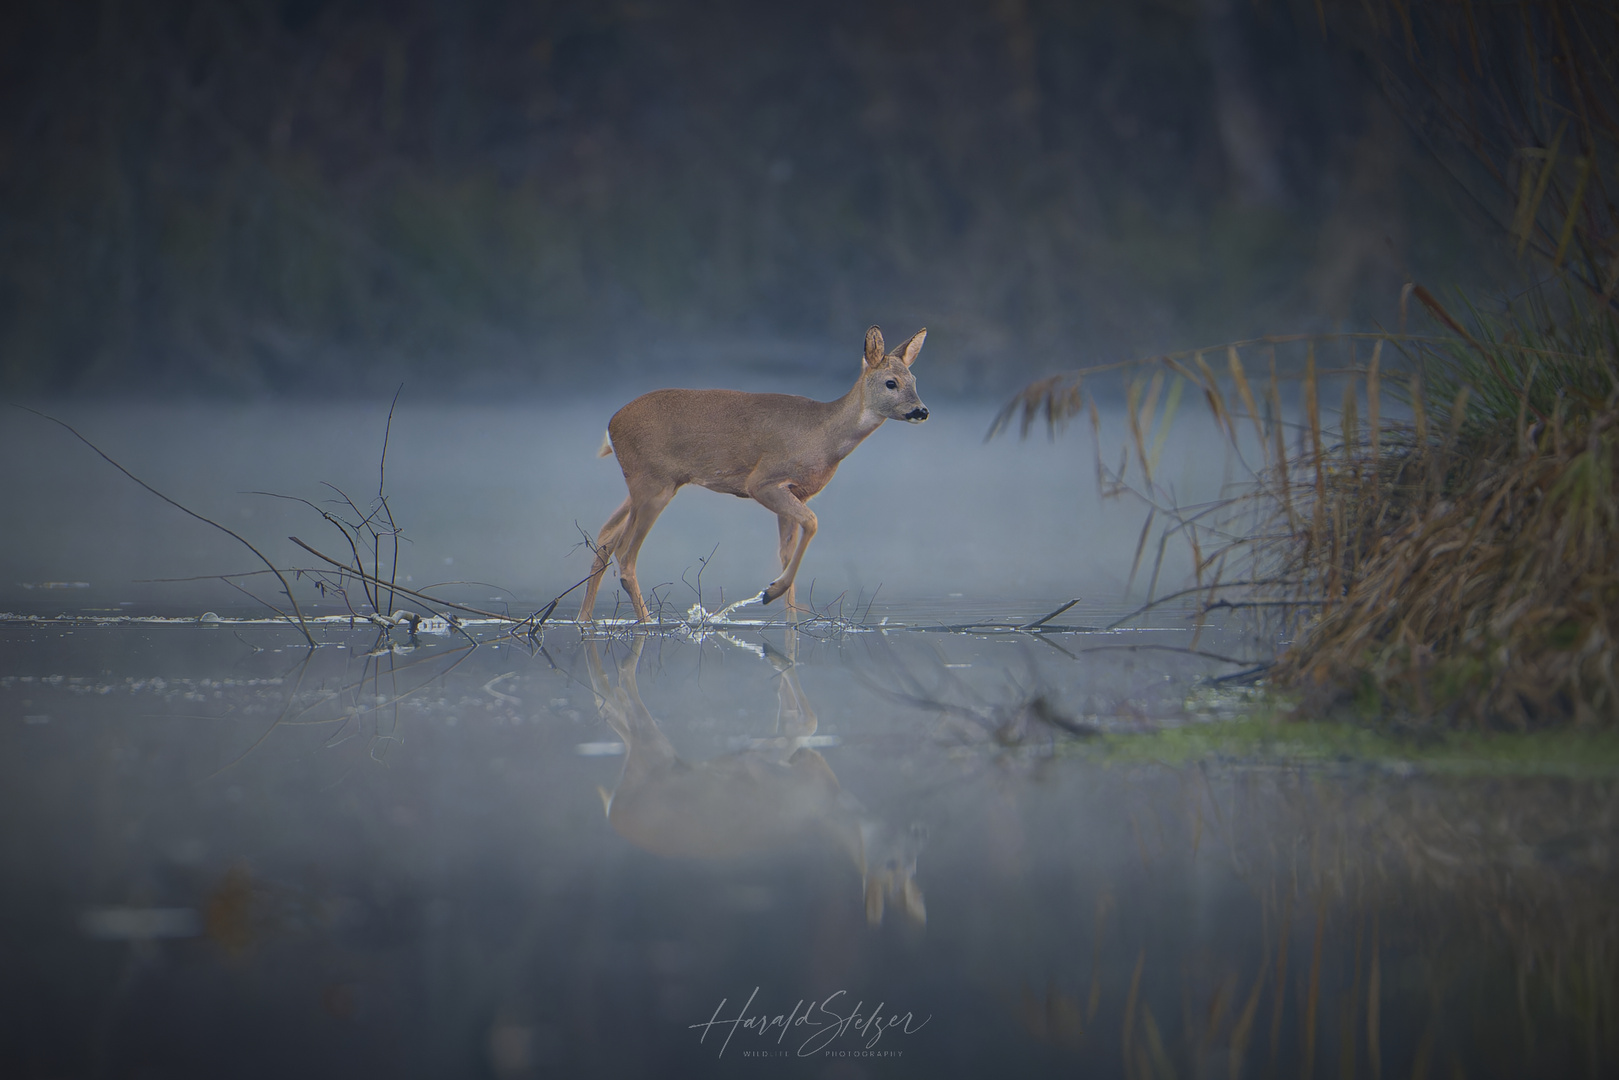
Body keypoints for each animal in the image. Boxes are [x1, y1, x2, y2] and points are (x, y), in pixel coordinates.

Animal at [579, 325, 932, 621]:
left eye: (915, 381)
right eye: (891, 383)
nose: (922, 411)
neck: (824, 436)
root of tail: (611, 426)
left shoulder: (796, 491)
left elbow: (786, 552)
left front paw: (788, 616)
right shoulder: (763, 481)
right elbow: (812, 523)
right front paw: (770, 592)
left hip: (649, 483)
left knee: (605, 540)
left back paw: (585, 620)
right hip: (653, 484)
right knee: (625, 554)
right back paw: (647, 623)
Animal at [589, 634, 932, 932]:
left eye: (914, 865)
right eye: (892, 864)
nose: (919, 832)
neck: (829, 805)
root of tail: (611, 811)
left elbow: (796, 720)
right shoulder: (765, 763)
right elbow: (808, 721)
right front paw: (778, 659)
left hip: (649, 757)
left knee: (614, 709)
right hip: (654, 754)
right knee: (625, 689)